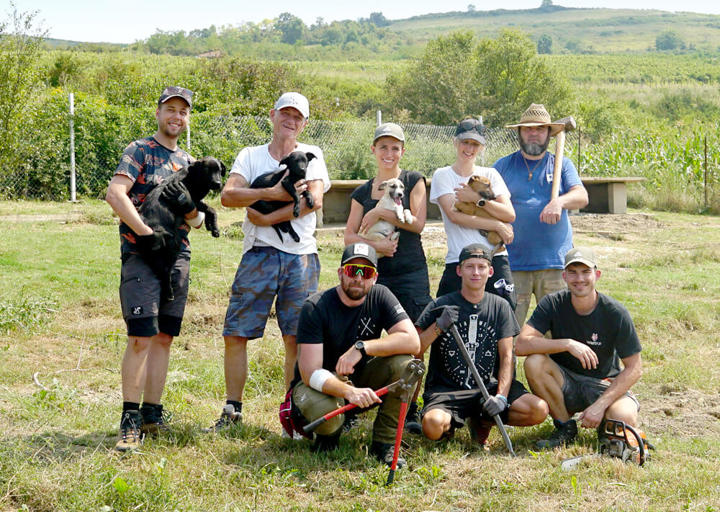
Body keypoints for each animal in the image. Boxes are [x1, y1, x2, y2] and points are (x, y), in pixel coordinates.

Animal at [135, 156, 225, 300]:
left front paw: (210, 226)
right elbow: (211, 209)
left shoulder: (193, 204)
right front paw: (214, 227)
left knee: (159, 270)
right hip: (173, 245)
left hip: (152, 253)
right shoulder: (193, 201)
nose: (218, 184)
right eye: (207, 170)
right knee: (166, 271)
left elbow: (207, 210)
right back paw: (169, 293)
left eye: (219, 170)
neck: (195, 176)